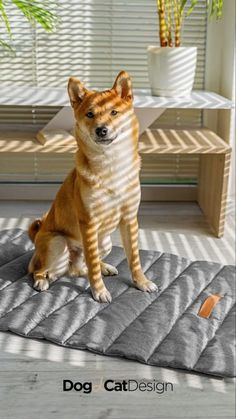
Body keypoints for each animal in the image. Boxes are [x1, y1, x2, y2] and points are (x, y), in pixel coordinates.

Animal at [27, 71, 158, 302]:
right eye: (89, 114)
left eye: (114, 112)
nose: (101, 130)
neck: (111, 166)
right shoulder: (88, 222)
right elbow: (92, 266)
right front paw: (100, 291)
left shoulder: (129, 219)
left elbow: (134, 258)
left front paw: (141, 282)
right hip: (57, 243)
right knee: (41, 269)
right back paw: (41, 280)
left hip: (104, 242)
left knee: (79, 268)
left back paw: (104, 267)